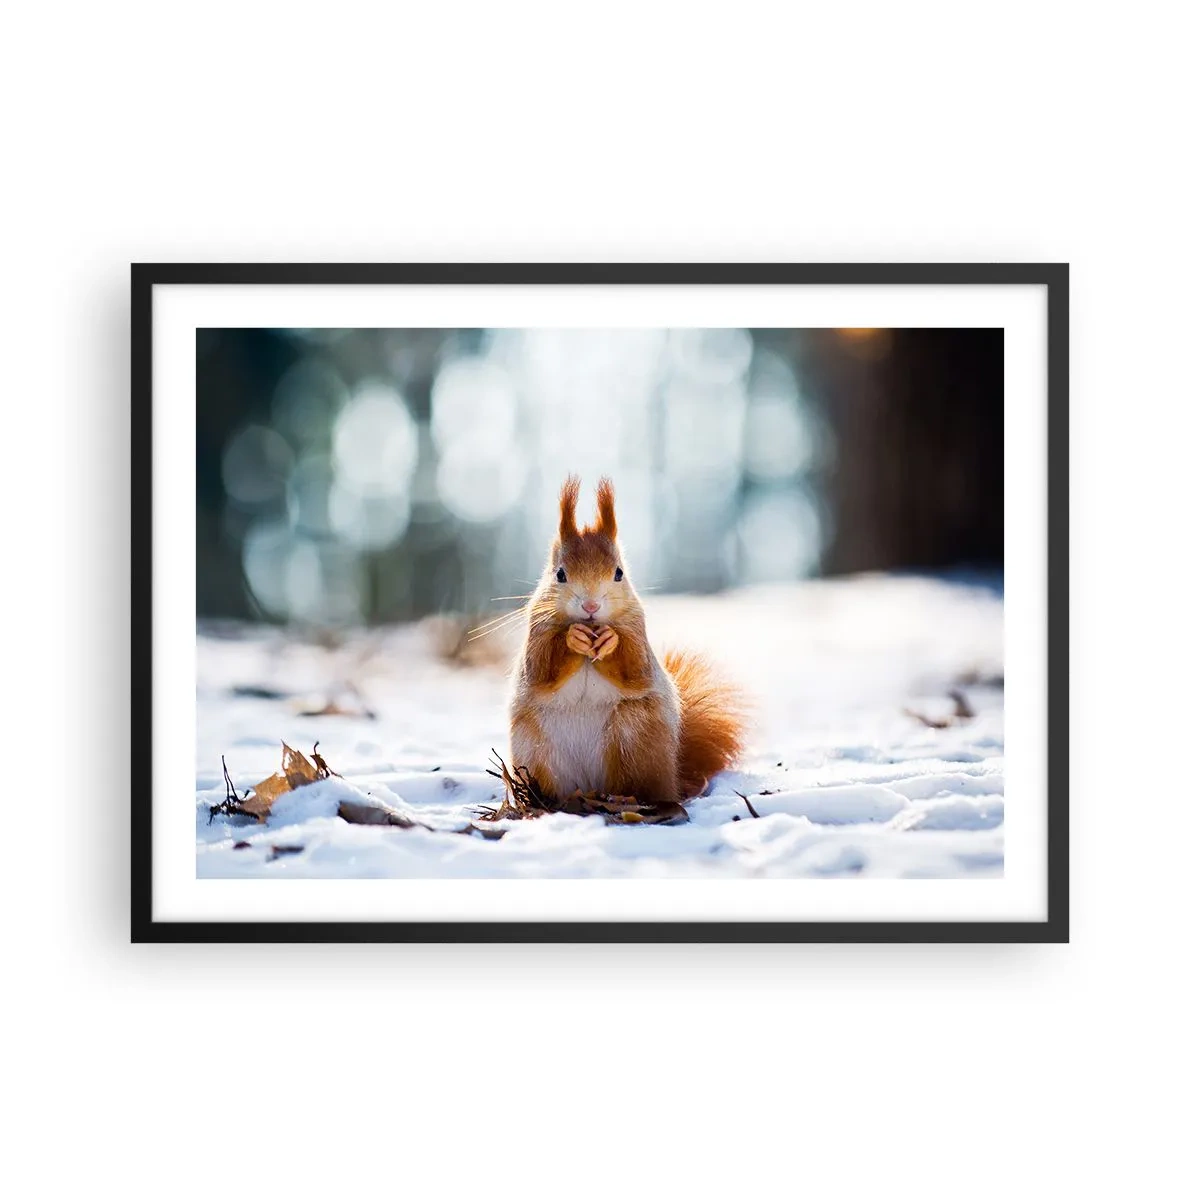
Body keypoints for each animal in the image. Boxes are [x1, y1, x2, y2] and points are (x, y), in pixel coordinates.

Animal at [509, 475, 747, 806]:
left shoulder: (637, 632)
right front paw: (572, 638)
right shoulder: (537, 633)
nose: (591, 606)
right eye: (560, 574)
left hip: (634, 736)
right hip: (534, 749)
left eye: (619, 573)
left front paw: (610, 641)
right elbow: (541, 670)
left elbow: (635, 669)